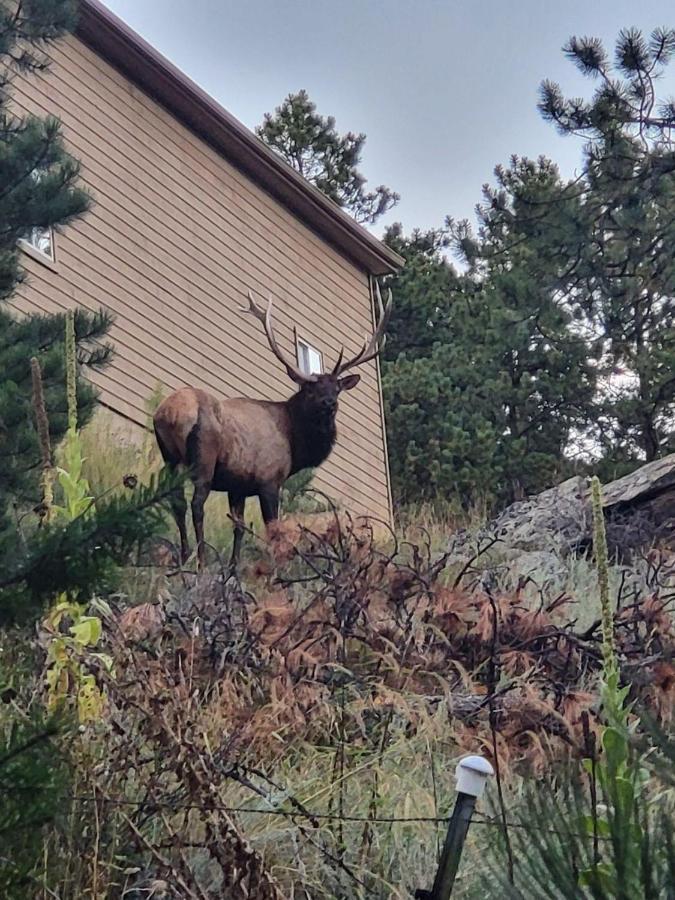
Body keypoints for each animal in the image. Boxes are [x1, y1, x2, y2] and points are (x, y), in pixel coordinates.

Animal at [151, 284, 388, 568]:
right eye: (310, 389)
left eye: (337, 388)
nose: (330, 403)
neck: (294, 444)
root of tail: (169, 412)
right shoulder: (269, 480)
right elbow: (273, 528)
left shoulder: (238, 485)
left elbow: (239, 527)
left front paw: (234, 567)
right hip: (203, 458)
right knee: (196, 504)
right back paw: (201, 559)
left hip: (169, 456)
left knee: (176, 501)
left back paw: (185, 556)